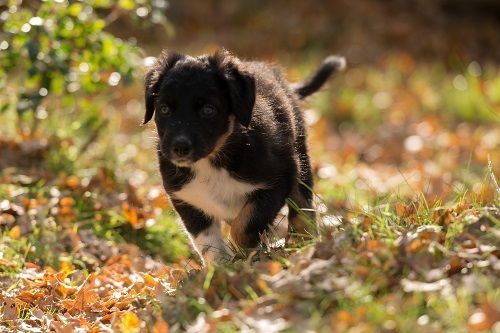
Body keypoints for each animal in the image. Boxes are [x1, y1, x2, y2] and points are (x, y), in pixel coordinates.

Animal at [143, 48, 346, 262]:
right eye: (164, 109)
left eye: (208, 110)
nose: (179, 148)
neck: (213, 161)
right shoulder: (187, 197)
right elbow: (207, 241)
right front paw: (221, 265)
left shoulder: (278, 180)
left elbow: (244, 226)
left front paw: (245, 255)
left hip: (299, 158)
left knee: (302, 205)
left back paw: (302, 242)